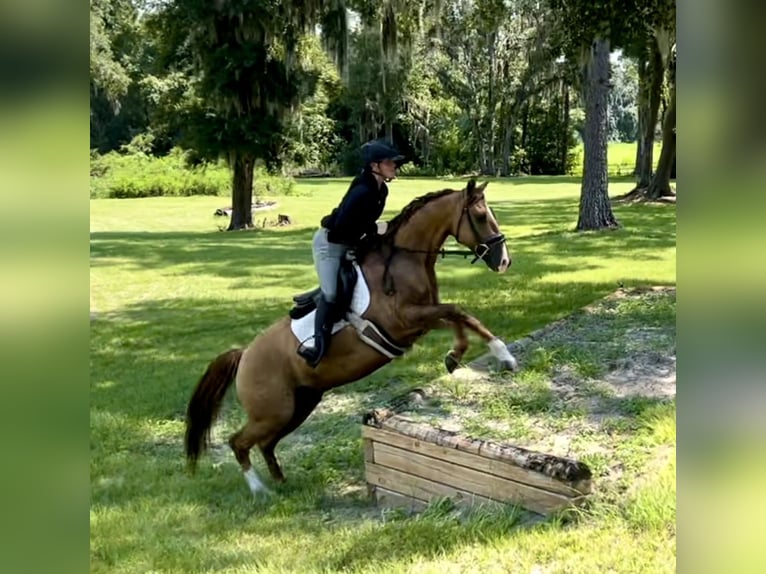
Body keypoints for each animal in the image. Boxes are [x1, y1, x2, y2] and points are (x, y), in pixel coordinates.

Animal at [187, 179, 520, 496]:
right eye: (480, 216)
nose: (504, 261)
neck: (404, 260)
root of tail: (244, 355)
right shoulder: (404, 320)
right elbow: (458, 311)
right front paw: (503, 354)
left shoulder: (418, 322)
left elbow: (457, 316)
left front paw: (455, 356)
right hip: (273, 412)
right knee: (239, 442)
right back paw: (260, 491)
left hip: (298, 406)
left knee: (265, 445)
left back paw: (281, 483)